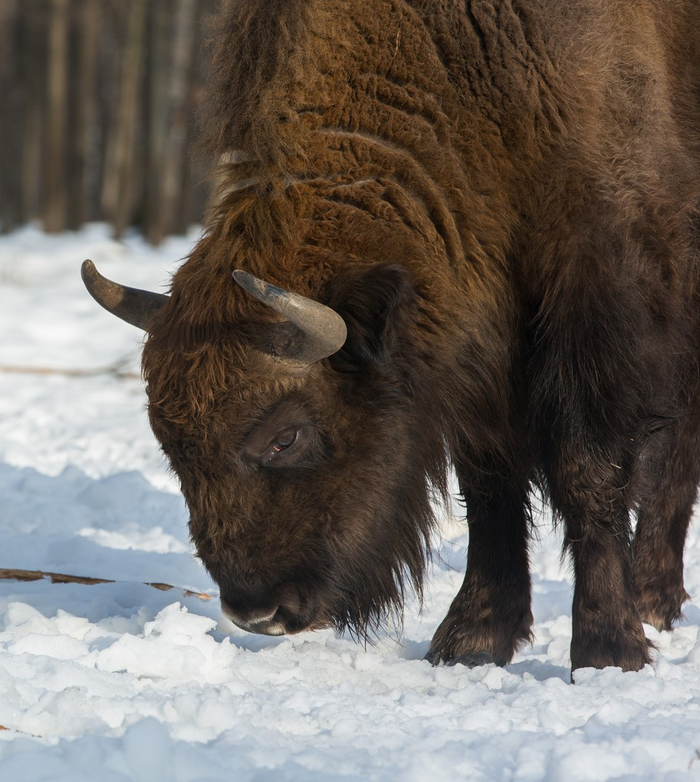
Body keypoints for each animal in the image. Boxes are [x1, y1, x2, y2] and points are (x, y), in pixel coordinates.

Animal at [82, 0, 700, 672]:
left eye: (285, 436)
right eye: (170, 444)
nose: (258, 612)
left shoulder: (599, 286)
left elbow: (589, 468)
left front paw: (608, 650)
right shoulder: (479, 335)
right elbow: (489, 478)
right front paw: (472, 641)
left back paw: (651, 604)